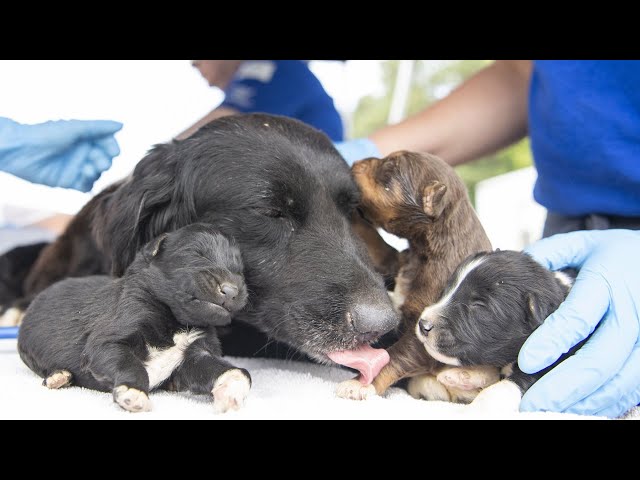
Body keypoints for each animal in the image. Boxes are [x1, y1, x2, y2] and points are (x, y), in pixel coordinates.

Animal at [17, 223, 248, 414]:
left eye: (239, 270)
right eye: (196, 254)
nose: (231, 291)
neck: (178, 320)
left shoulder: (194, 354)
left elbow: (226, 369)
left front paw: (232, 387)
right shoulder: (111, 339)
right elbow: (130, 364)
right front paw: (133, 391)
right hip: (29, 351)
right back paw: (58, 376)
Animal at [340, 152, 500, 404]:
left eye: (388, 170)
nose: (357, 161)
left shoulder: (425, 335)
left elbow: (393, 357)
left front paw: (361, 384)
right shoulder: (398, 260)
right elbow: (373, 242)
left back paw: (464, 376)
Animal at [412, 249, 576, 410]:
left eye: (478, 305)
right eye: (447, 290)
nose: (423, 324)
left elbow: (509, 385)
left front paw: (477, 407)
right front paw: (462, 376)